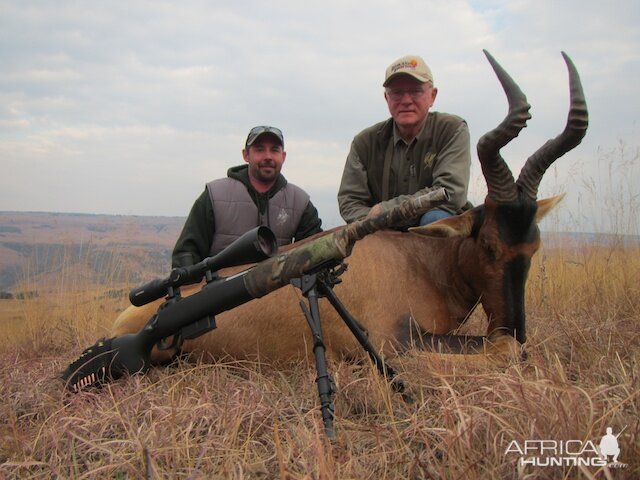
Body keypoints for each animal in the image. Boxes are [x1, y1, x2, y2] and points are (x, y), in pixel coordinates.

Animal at [110, 51, 592, 364]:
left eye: (533, 248)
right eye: (489, 245)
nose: (515, 327)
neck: (417, 259)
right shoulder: (395, 342)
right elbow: (505, 351)